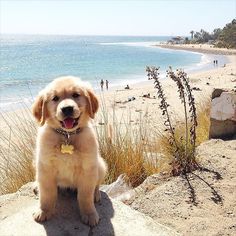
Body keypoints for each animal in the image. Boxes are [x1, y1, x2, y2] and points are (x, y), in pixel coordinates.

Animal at [31, 76, 107, 226]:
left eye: (76, 95)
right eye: (55, 98)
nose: (67, 109)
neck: (67, 135)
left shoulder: (88, 169)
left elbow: (85, 196)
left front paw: (89, 214)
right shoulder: (45, 167)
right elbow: (47, 193)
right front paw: (44, 211)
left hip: (100, 165)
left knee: (96, 184)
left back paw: (96, 194)